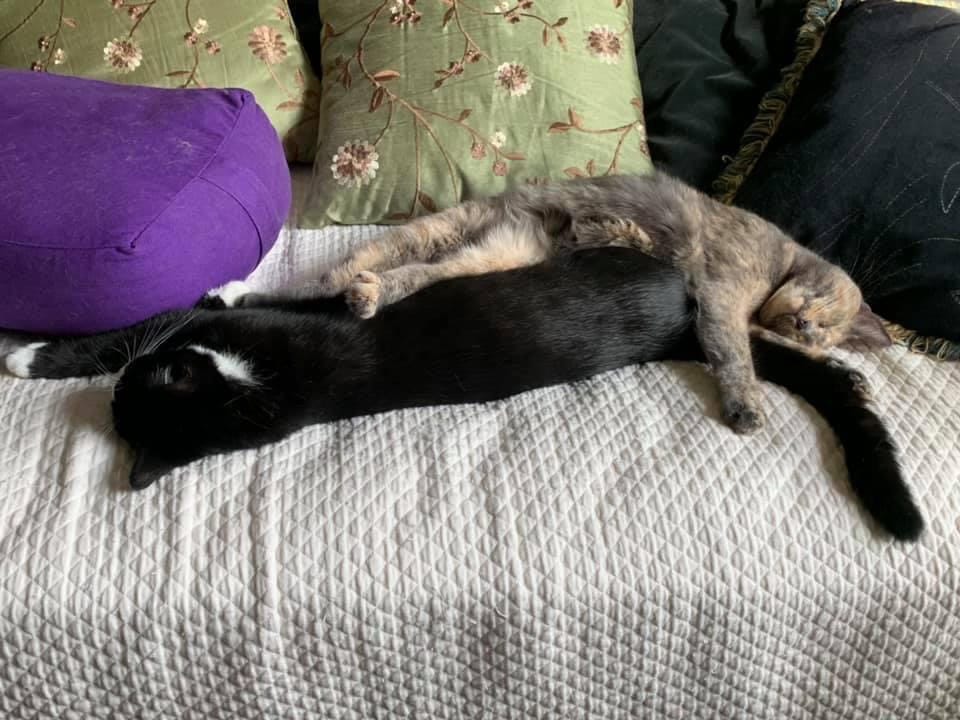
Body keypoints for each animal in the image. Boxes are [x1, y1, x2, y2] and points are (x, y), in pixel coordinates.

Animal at [5, 249, 924, 540]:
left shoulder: (243, 321)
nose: (130, 387)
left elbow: (154, 318)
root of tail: (682, 326)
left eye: (148, 385)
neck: (251, 394)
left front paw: (35, 354)